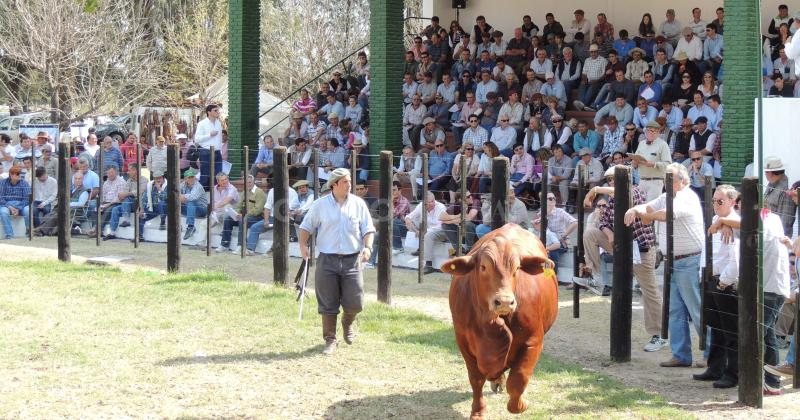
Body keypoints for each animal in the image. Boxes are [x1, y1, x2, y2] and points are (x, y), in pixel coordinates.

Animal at [444, 225, 556, 418]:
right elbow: (476, 378)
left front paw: (520, 405)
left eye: (517, 268)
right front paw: (478, 411)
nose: (504, 301)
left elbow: (518, 380)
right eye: (483, 267)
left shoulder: (533, 341)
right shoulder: (463, 341)